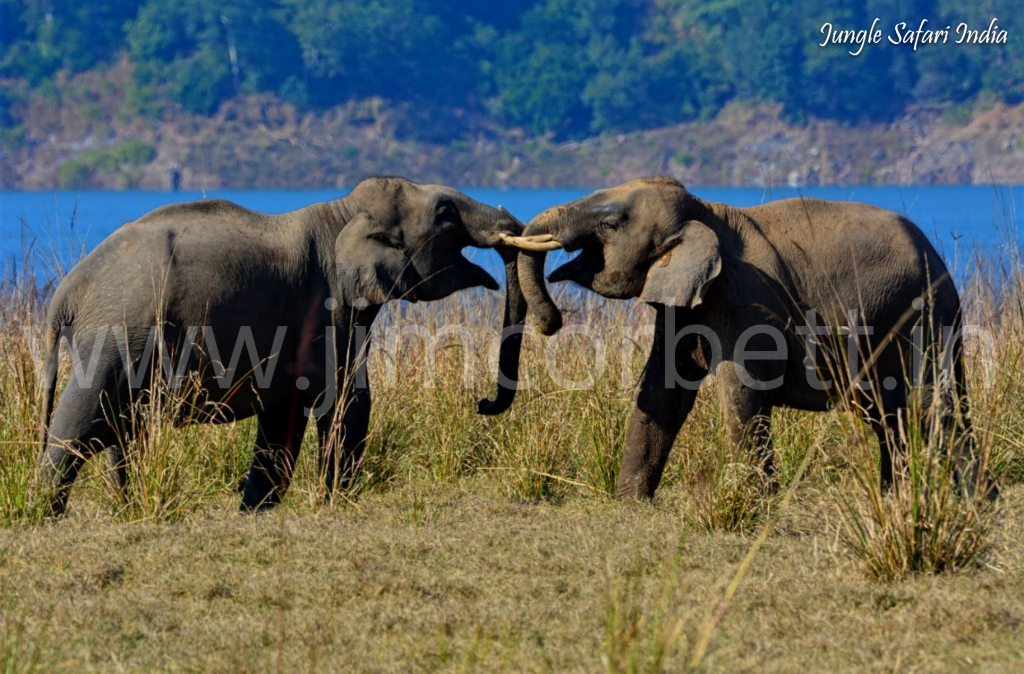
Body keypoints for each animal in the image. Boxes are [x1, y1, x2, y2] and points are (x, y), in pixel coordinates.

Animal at [37, 176, 528, 512]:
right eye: (445, 213)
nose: (483, 403)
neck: (344, 211)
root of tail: (67, 291)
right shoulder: (329, 310)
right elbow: (349, 401)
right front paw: (336, 503)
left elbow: (281, 416)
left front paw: (254, 511)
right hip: (117, 335)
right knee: (79, 425)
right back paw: (46, 512)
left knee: (124, 431)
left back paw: (129, 508)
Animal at [499, 176, 995, 495]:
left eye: (612, 223)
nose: (550, 322)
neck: (706, 213)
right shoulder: (688, 306)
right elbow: (661, 391)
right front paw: (630, 503)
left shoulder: (746, 302)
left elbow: (742, 392)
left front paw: (755, 504)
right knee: (892, 417)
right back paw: (903, 498)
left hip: (921, 322)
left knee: (930, 406)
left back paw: (972, 500)